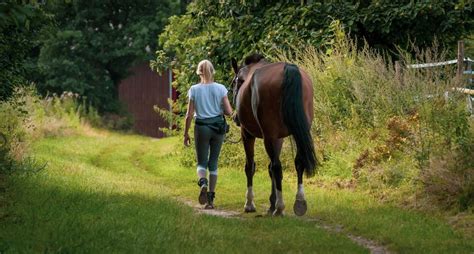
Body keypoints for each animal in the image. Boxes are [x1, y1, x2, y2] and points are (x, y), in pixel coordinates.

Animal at [231, 54, 316, 216]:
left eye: (237, 82)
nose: (235, 118)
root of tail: (288, 69)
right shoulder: (279, 138)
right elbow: (270, 168)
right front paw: (271, 203)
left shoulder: (247, 134)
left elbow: (250, 167)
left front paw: (250, 203)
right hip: (301, 131)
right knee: (298, 162)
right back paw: (299, 202)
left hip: (267, 136)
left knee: (277, 167)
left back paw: (280, 208)